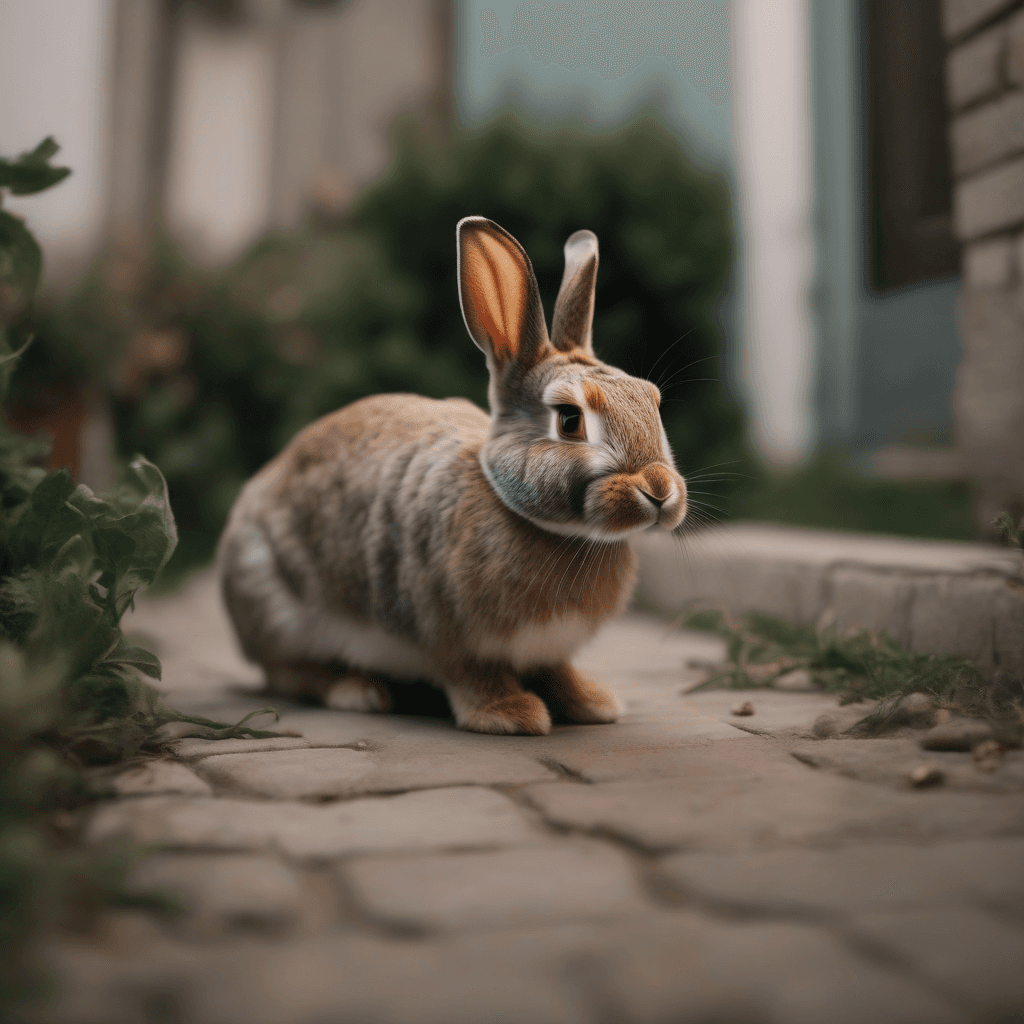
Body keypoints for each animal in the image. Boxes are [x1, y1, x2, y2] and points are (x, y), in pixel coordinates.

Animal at [217, 217, 687, 735]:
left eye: (652, 401)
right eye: (569, 420)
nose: (660, 491)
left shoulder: (547, 649)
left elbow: (556, 671)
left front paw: (593, 703)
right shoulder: (448, 634)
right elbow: (472, 675)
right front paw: (510, 714)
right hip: (279, 608)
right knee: (289, 672)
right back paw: (359, 691)